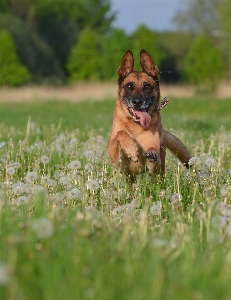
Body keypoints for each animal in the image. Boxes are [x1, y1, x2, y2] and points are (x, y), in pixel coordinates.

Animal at [107, 50, 190, 179]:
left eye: (146, 86)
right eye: (129, 86)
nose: (137, 102)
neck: (135, 126)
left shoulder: (155, 166)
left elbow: (153, 153)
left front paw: (151, 153)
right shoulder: (115, 158)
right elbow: (121, 133)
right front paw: (132, 150)